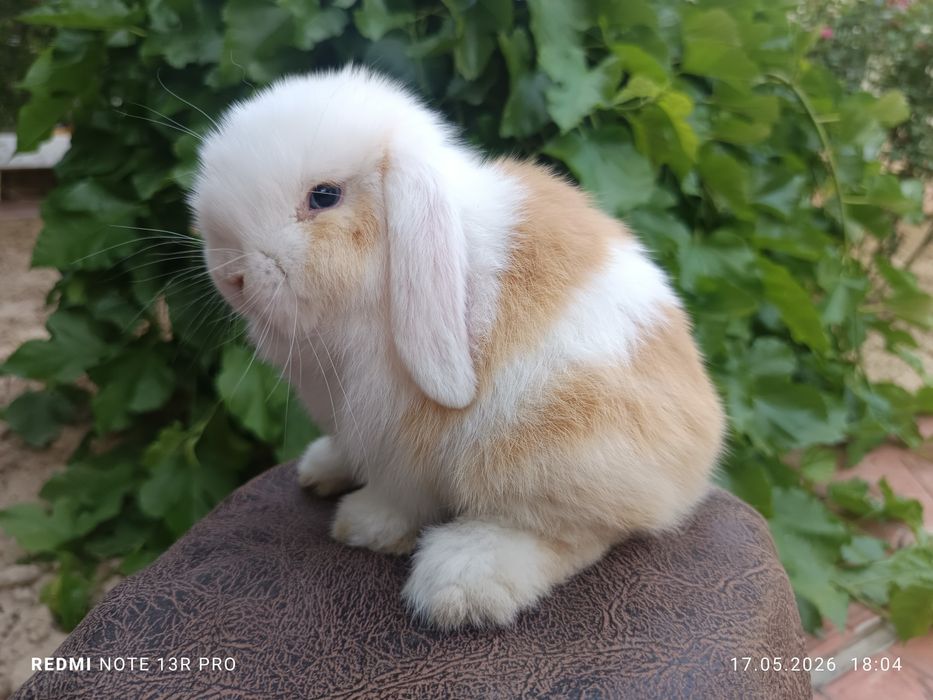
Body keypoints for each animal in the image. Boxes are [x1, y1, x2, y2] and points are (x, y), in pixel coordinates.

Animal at [190, 66, 726, 630]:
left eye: (324, 196)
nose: (231, 278)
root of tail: (700, 458)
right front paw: (326, 471)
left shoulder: (396, 429)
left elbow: (402, 494)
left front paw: (363, 525)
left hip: (555, 448)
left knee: (579, 532)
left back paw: (460, 581)